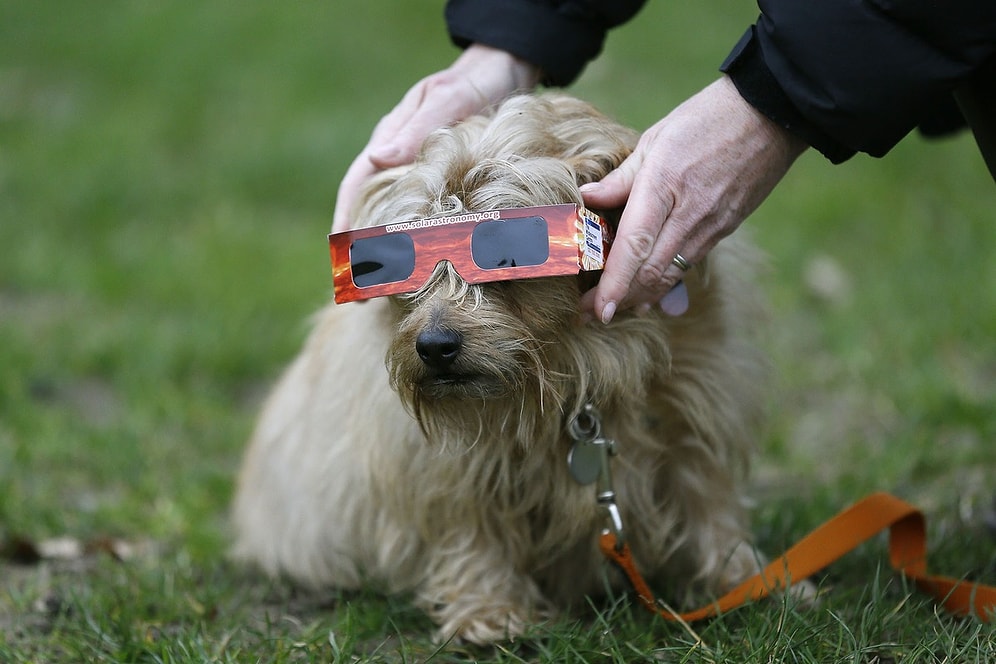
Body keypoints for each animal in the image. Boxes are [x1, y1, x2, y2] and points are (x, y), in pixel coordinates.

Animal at [231, 93, 772, 644]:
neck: (573, 369)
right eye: (391, 265)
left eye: (506, 256)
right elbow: (470, 524)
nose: (434, 346)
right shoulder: (444, 465)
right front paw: (489, 610)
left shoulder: (693, 415)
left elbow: (707, 498)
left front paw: (740, 579)